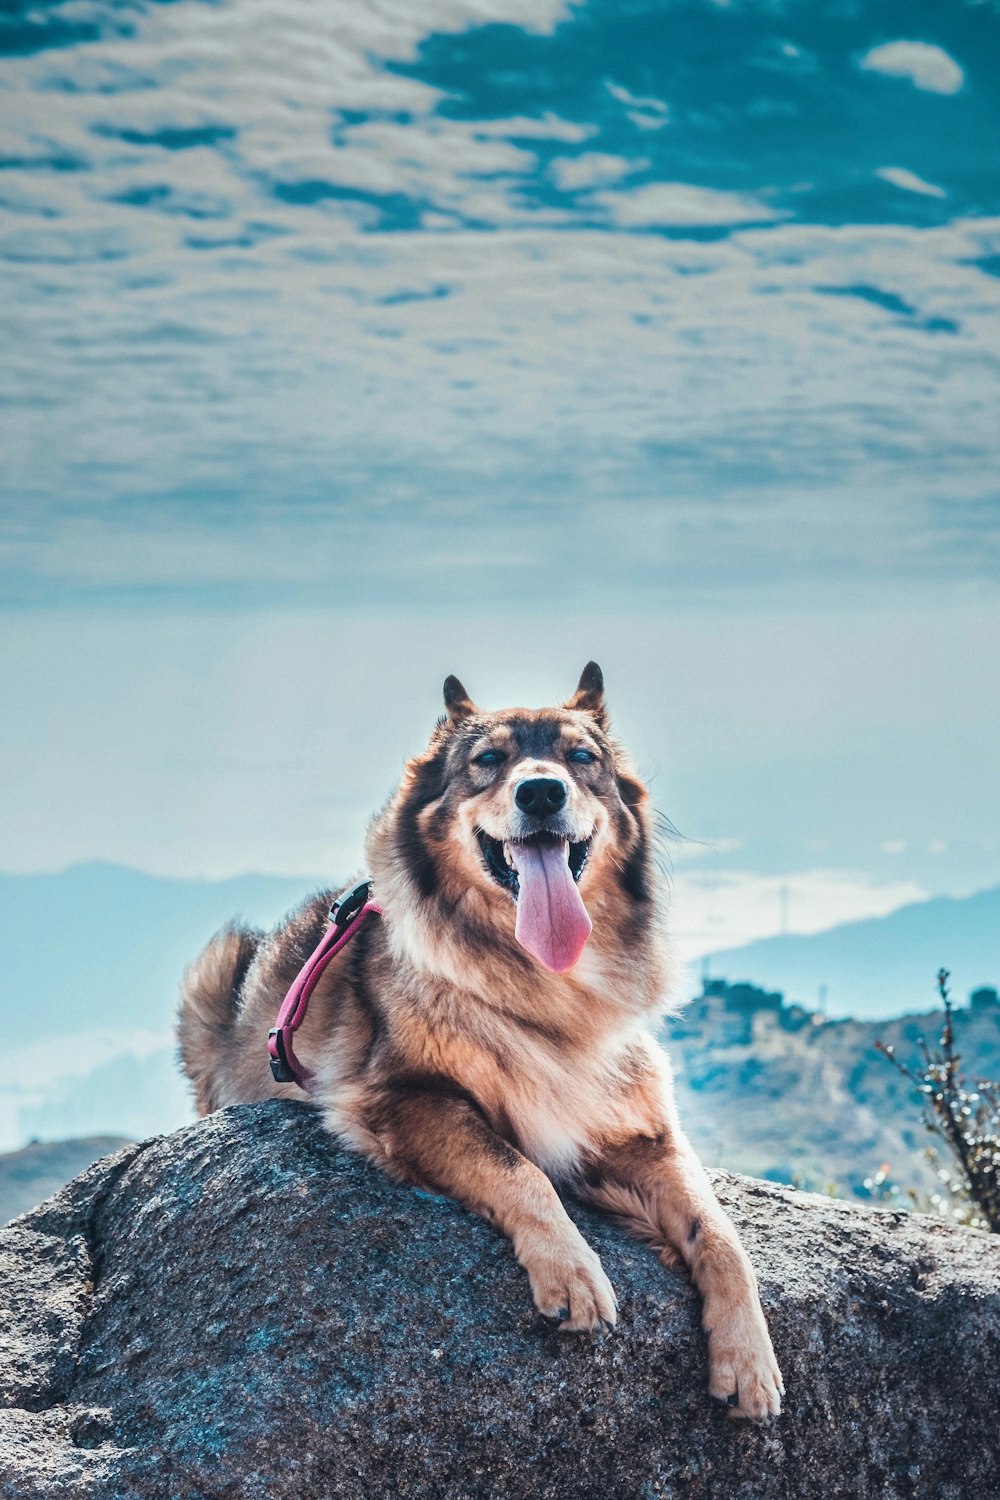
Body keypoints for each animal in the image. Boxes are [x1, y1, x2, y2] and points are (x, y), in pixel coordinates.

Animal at [183, 666, 785, 1416]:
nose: (542, 792)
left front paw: (751, 1361)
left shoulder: (642, 1132)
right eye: (489, 760)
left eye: (580, 757)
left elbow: (720, 1233)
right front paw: (573, 1273)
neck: (543, 985)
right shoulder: (404, 1096)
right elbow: (519, 1170)